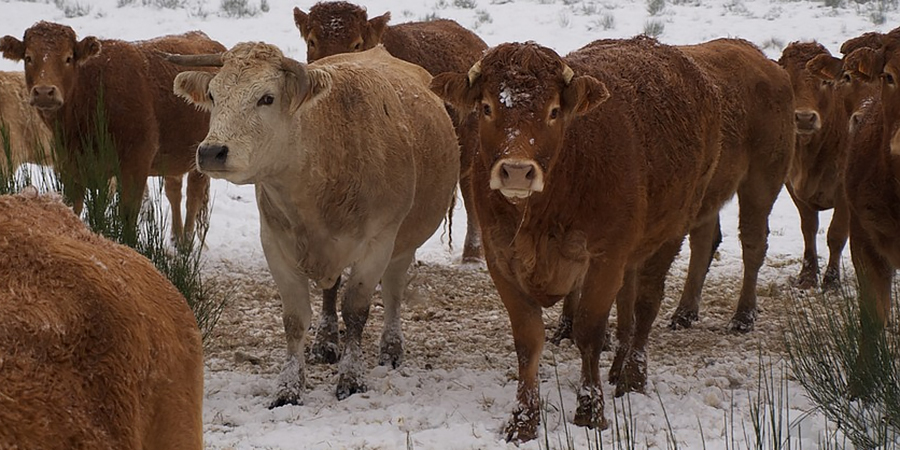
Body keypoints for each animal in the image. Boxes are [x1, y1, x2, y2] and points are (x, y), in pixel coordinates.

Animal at [0, 22, 224, 243]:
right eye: (28, 57)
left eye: (68, 58)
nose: (44, 92)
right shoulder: (69, 167)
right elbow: (73, 208)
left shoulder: (136, 164)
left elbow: (127, 217)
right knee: (174, 189)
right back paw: (176, 237)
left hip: (201, 155)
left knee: (193, 195)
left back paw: (186, 241)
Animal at [168, 43, 459, 405]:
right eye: (212, 94)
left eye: (267, 98)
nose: (211, 152)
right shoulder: (274, 242)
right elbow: (295, 319)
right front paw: (289, 386)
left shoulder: (379, 243)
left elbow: (356, 310)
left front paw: (352, 378)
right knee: (330, 290)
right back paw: (325, 341)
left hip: (403, 243)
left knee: (393, 290)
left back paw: (391, 348)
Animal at [430, 38, 722, 442]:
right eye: (487, 107)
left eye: (554, 111)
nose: (517, 172)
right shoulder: (500, 258)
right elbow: (528, 340)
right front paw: (524, 419)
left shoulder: (604, 257)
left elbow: (589, 333)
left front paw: (590, 410)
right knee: (628, 305)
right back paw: (617, 367)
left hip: (672, 230)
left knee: (646, 303)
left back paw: (633, 375)